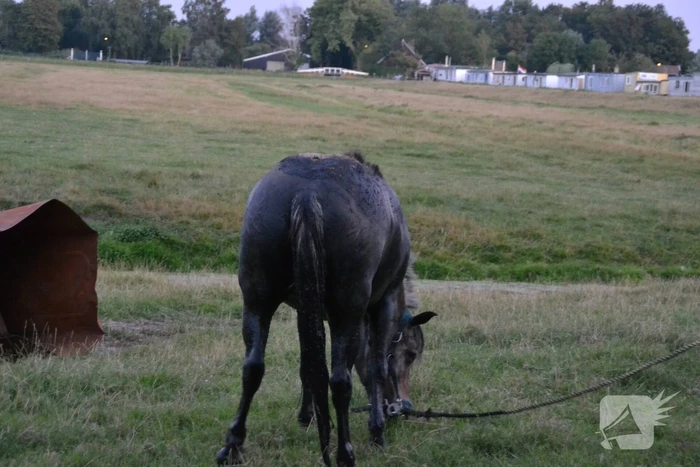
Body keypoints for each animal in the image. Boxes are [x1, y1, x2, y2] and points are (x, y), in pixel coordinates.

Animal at [216, 151, 437, 467]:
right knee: (340, 381)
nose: (403, 407)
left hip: (258, 299)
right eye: (410, 354)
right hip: (347, 311)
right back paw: (345, 452)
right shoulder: (383, 305)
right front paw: (377, 430)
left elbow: (307, 365)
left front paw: (307, 416)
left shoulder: (306, 310)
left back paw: (233, 444)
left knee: (253, 367)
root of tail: (307, 193)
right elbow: (376, 367)